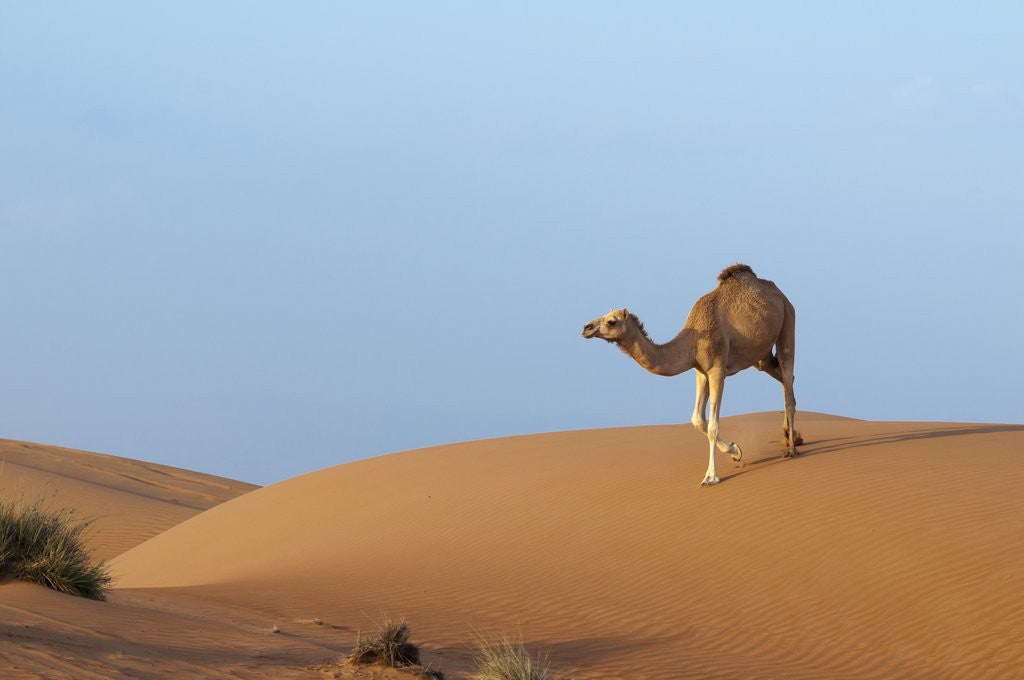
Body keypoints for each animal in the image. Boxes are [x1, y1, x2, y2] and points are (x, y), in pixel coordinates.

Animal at [581, 264, 800, 487]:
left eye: (612, 321)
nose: (586, 328)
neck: (692, 341)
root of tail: (780, 294)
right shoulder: (700, 371)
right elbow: (697, 420)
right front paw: (735, 451)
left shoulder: (717, 370)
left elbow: (712, 426)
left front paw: (711, 476)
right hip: (760, 357)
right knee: (785, 379)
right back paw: (791, 436)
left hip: (787, 323)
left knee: (787, 370)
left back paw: (792, 449)